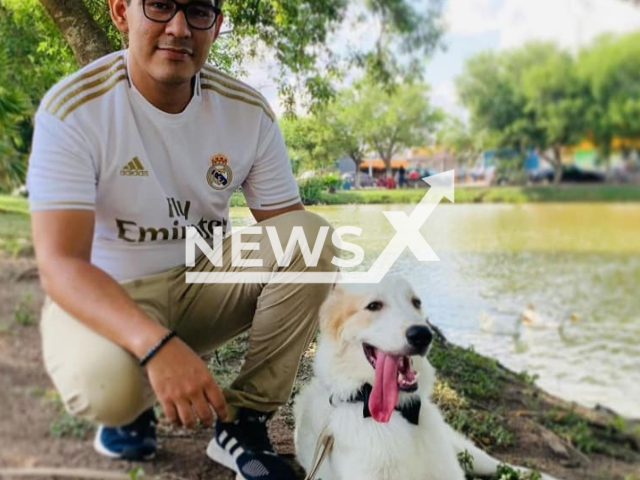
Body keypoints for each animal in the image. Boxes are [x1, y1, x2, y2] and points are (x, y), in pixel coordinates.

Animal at [296, 278, 560, 480]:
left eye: (416, 303)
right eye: (373, 305)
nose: (423, 334)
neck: (400, 414)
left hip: (466, 453)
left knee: (498, 465)